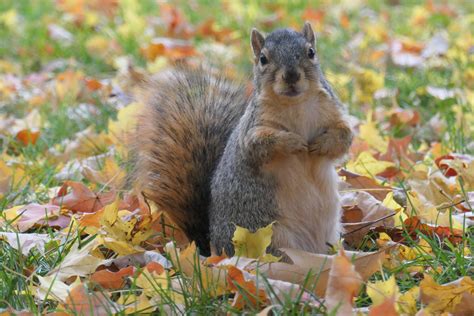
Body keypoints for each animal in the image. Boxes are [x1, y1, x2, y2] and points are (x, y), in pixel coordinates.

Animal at [131, 22, 352, 260]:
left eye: (311, 52)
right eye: (263, 59)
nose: (291, 75)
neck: (295, 104)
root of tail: (213, 249)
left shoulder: (334, 113)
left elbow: (344, 137)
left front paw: (321, 144)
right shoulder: (252, 129)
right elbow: (261, 145)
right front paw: (292, 141)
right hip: (269, 235)